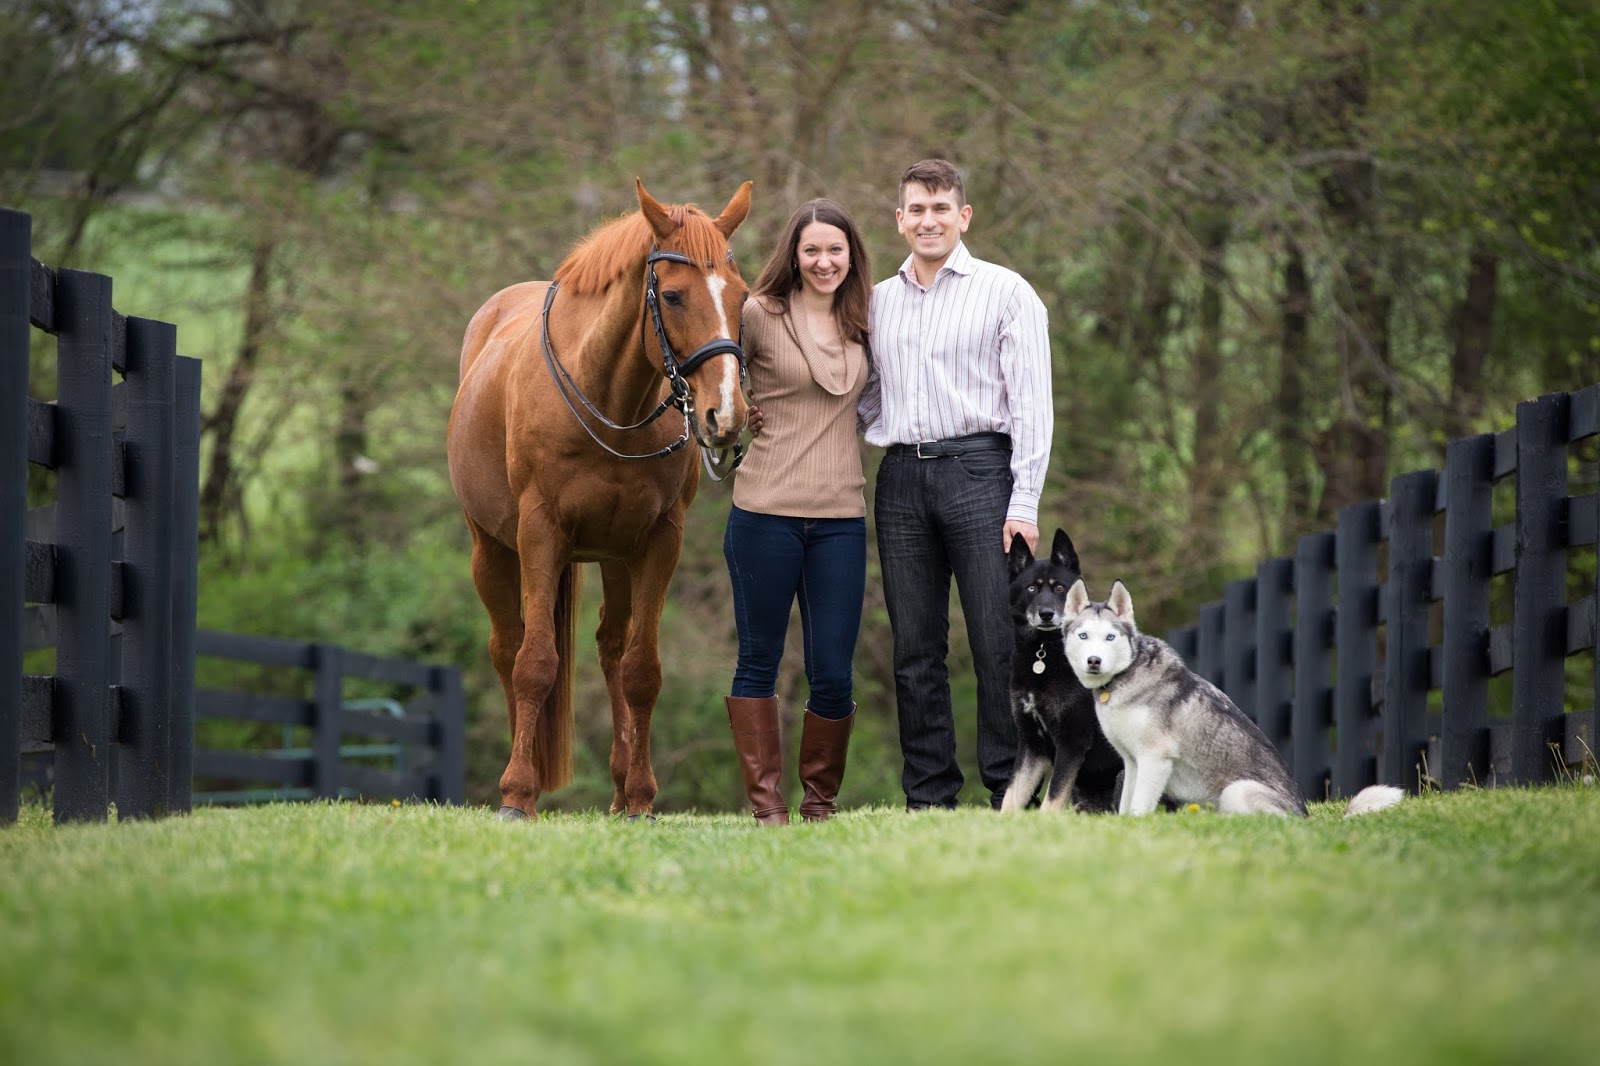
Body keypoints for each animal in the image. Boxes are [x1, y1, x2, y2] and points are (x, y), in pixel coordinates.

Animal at [447, 179, 753, 820]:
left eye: (742, 296)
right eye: (675, 296)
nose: (725, 416)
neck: (607, 398)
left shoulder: (659, 539)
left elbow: (640, 669)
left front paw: (640, 797)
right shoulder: (539, 533)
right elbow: (535, 663)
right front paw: (518, 793)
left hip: (614, 555)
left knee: (612, 648)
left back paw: (618, 785)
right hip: (491, 549)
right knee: (507, 647)